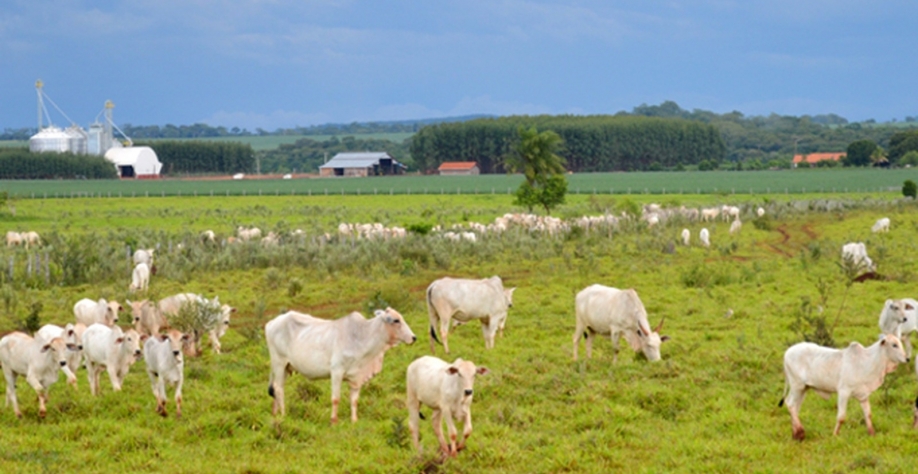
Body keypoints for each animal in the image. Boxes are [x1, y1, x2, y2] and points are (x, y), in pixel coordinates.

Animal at [264, 308, 418, 422]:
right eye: (396, 320)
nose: (414, 337)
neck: (361, 336)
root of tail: (270, 323)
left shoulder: (356, 377)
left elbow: (354, 400)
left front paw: (354, 421)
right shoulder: (336, 372)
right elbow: (336, 399)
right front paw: (333, 421)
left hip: (285, 367)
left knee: (277, 388)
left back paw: (275, 413)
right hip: (279, 362)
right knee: (278, 388)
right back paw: (283, 414)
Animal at [780, 334, 908, 440]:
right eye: (894, 345)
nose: (907, 358)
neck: (866, 362)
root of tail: (787, 352)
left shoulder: (863, 395)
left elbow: (868, 414)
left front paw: (872, 433)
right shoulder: (843, 392)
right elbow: (841, 417)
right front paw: (835, 434)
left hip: (803, 388)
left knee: (795, 407)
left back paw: (796, 434)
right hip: (797, 386)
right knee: (790, 404)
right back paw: (800, 432)